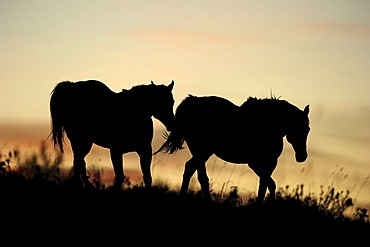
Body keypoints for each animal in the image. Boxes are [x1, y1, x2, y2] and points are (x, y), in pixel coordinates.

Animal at [155, 95, 310, 203]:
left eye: (308, 129)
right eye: (298, 128)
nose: (302, 156)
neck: (269, 124)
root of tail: (191, 102)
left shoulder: (268, 164)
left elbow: (265, 185)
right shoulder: (256, 163)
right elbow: (269, 184)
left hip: (201, 152)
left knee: (194, 171)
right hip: (203, 152)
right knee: (196, 173)